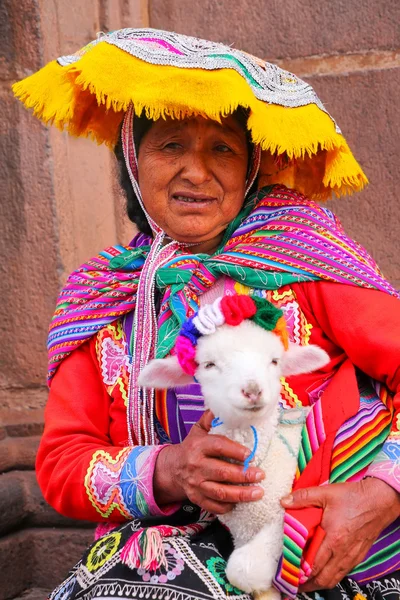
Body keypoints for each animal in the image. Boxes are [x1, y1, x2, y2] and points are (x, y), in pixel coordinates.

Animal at [139, 296, 330, 600]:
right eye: (209, 365)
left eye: (274, 361)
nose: (252, 390)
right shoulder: (241, 531)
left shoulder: (284, 516)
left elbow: (243, 568)